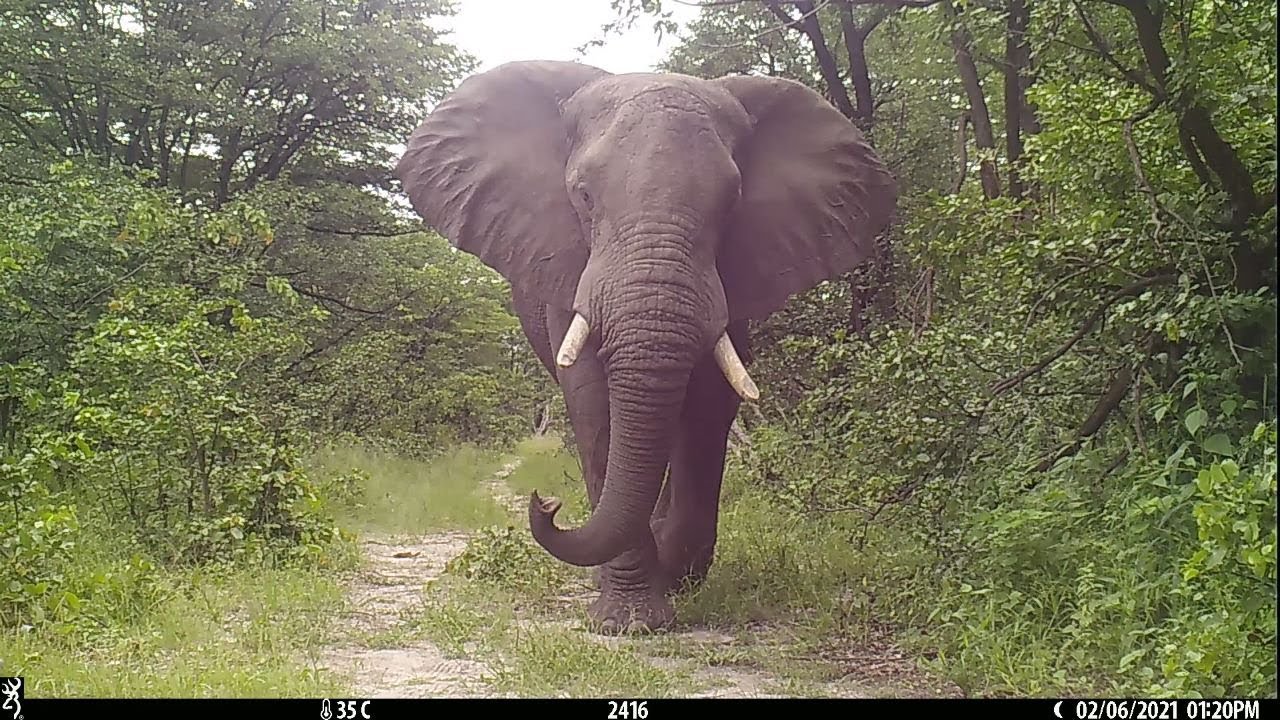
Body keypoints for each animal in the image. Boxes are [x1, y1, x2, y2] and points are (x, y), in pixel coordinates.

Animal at [394, 60, 897, 634]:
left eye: (732, 203)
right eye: (583, 196)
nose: (547, 505)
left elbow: (709, 404)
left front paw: (672, 579)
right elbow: (593, 402)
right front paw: (629, 622)